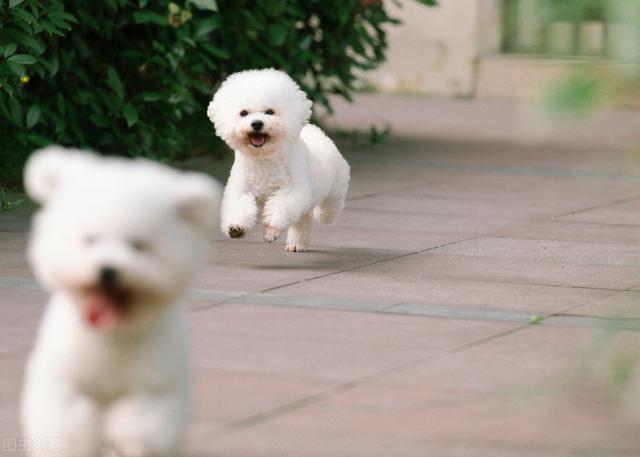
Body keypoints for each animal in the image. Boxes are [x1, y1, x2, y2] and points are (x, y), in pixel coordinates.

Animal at [21, 147, 221, 456]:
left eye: (137, 245)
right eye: (90, 239)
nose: (108, 270)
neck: (113, 332)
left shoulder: (152, 386)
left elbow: (139, 421)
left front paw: (129, 442)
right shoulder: (65, 379)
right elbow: (67, 421)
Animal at [208, 69, 350, 251]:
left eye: (270, 111)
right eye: (243, 113)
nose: (256, 123)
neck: (264, 157)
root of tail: (314, 131)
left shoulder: (291, 190)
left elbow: (279, 208)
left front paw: (271, 231)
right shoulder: (242, 188)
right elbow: (239, 206)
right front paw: (236, 228)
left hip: (336, 187)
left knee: (331, 205)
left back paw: (323, 216)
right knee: (303, 220)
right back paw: (297, 243)